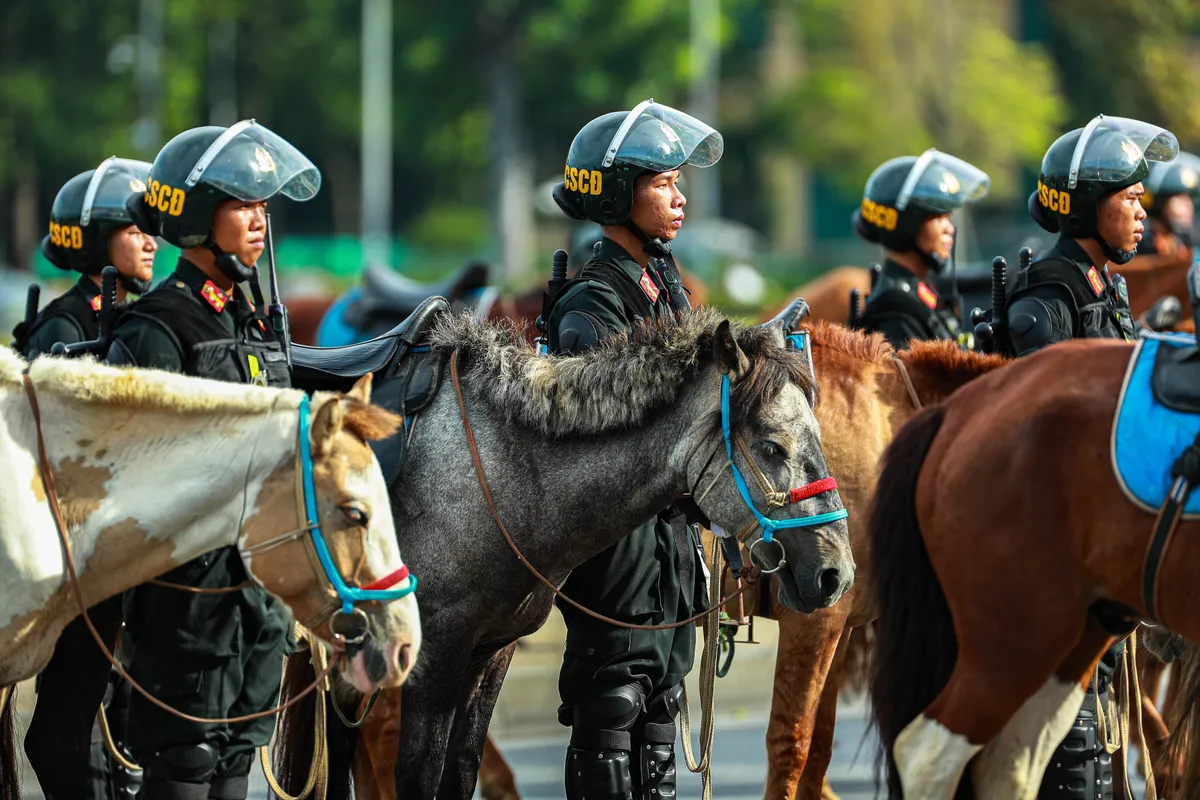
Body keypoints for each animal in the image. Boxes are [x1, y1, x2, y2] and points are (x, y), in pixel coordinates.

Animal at [274, 303, 854, 796]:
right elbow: (420, 775)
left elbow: (459, 772)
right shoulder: (435, 654)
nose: (836, 573)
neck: (499, 473)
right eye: (772, 446)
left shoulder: (488, 653)